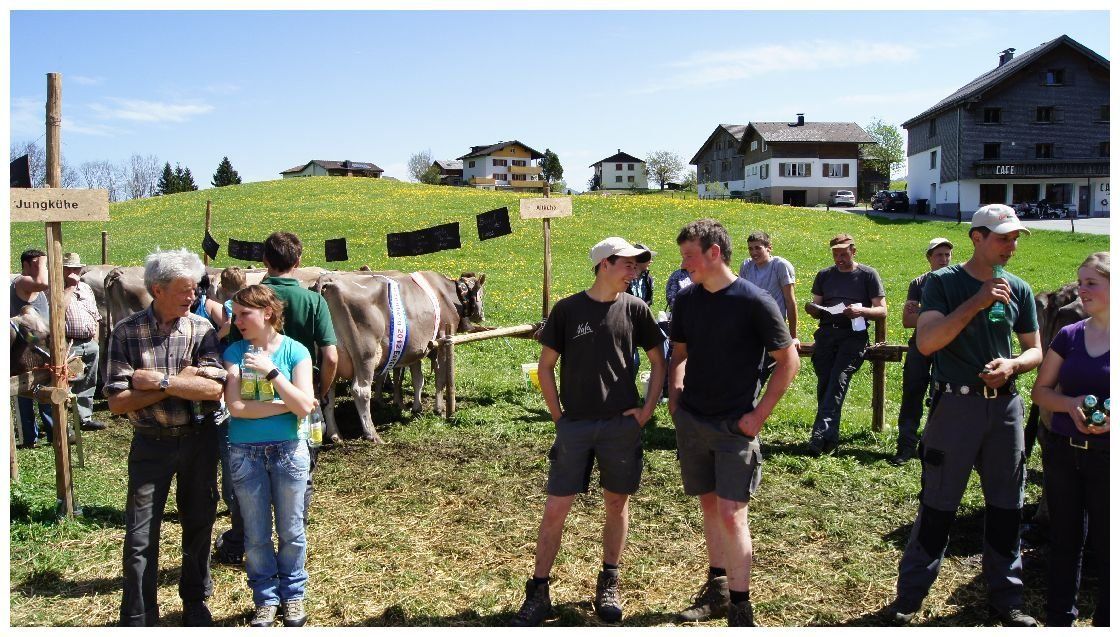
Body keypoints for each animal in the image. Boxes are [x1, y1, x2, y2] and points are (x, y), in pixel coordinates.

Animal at [315, 270, 485, 443]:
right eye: (482, 294)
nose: (481, 316)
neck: (447, 293)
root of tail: (329, 280)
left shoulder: (416, 349)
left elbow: (418, 379)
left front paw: (417, 407)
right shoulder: (442, 342)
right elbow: (440, 378)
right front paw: (439, 408)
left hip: (331, 358)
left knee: (327, 392)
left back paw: (335, 434)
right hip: (365, 354)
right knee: (360, 391)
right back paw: (373, 435)